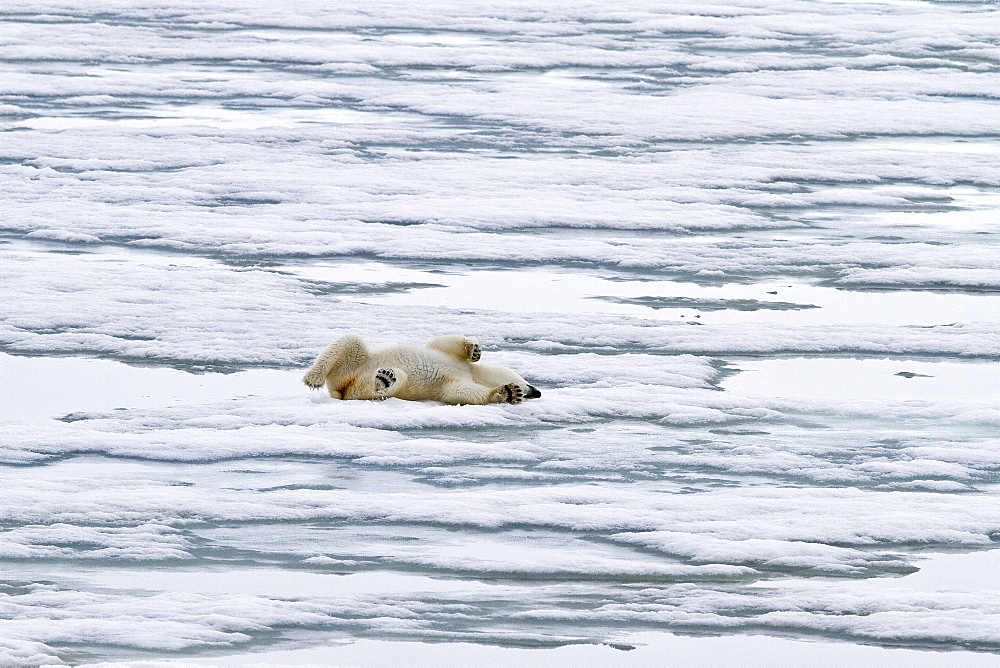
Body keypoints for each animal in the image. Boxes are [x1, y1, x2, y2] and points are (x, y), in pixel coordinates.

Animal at [302, 332, 544, 402]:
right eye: (527, 381)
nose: (538, 392)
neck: (470, 373)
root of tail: (339, 389)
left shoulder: (456, 379)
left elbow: (460, 392)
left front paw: (508, 392)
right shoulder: (452, 359)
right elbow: (444, 343)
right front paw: (474, 350)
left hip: (355, 386)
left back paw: (384, 379)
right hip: (355, 363)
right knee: (351, 342)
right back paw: (313, 378)